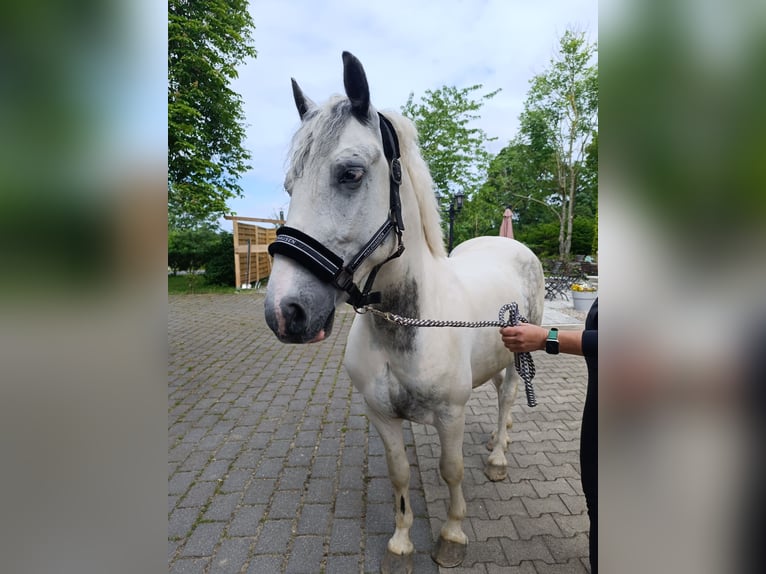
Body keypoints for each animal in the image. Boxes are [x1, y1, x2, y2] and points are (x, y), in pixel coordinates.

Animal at [264, 52, 545, 571]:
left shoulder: (451, 415)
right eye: (290, 184)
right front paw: (400, 543)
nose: (284, 311)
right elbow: (399, 474)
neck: (406, 326)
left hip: (522, 353)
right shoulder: (382, 415)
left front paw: (451, 535)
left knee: (508, 397)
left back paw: (498, 456)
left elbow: (451, 471)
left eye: (350, 173)